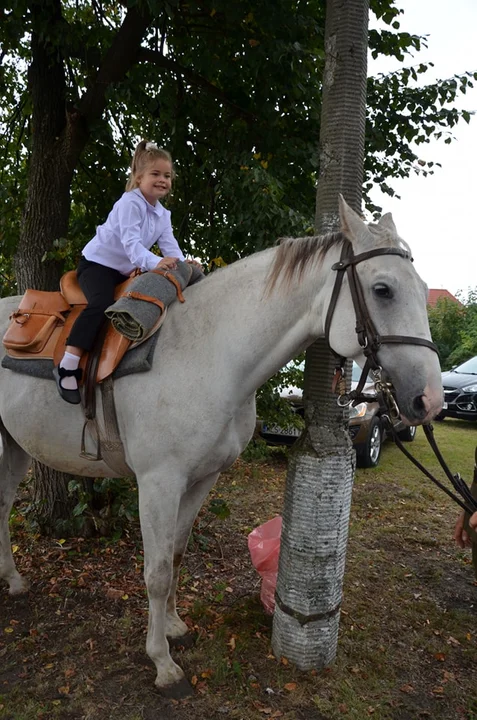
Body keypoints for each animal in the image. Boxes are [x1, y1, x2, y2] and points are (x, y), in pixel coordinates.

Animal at [0, 200, 442, 696]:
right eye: (383, 289)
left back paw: (13, 580)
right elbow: (156, 571)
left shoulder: (202, 478)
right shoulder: (158, 483)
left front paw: (173, 627)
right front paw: (162, 663)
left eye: (422, 289)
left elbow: (176, 554)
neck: (210, 353)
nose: (429, 399)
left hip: (14, 446)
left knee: (2, 504)